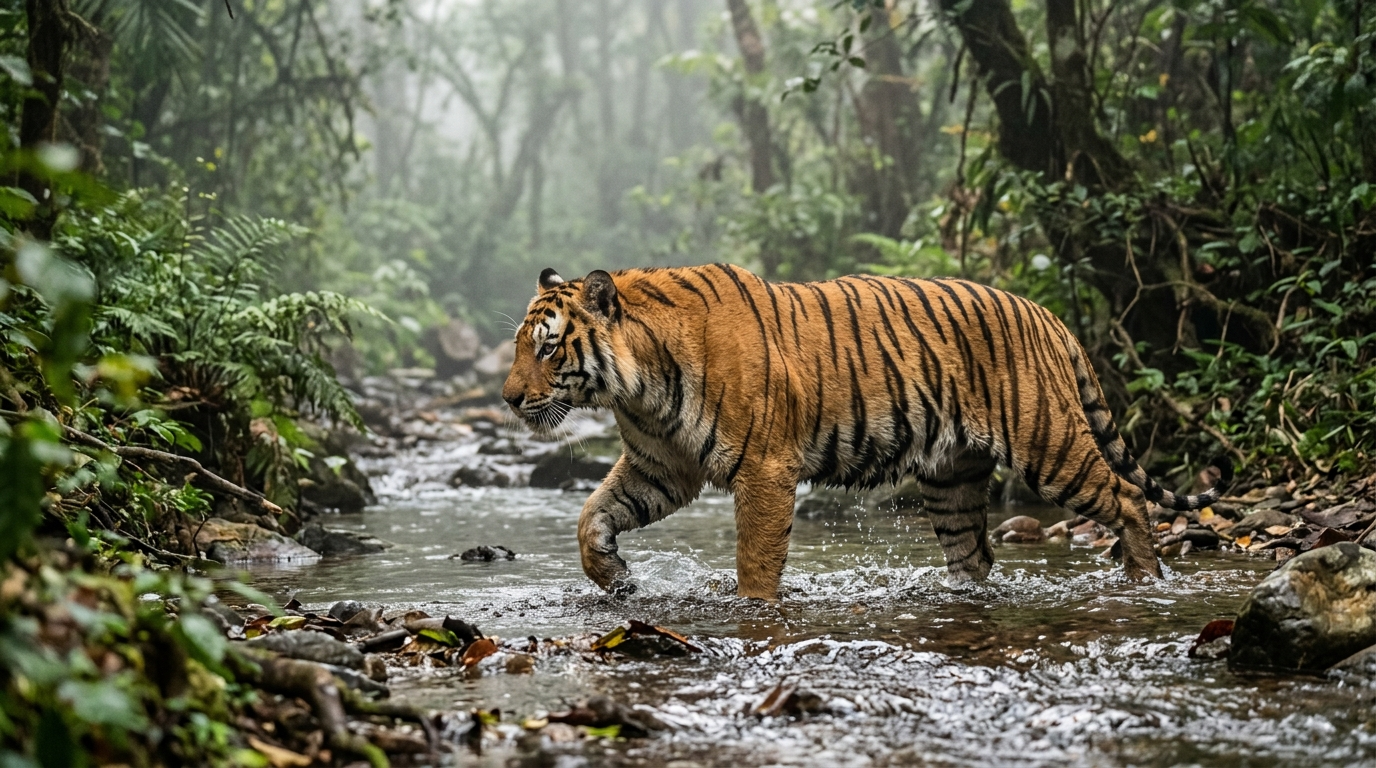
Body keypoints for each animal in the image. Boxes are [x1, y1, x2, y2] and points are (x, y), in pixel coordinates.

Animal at [501, 264, 1232, 600]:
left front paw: (752, 608)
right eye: (516, 348)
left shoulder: (764, 469)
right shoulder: (663, 467)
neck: (637, 388)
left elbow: (756, 560)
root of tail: (1047, 314)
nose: (507, 399)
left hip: (1049, 443)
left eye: (546, 348)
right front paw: (615, 578)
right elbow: (591, 517)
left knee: (1126, 497)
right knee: (975, 557)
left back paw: (1145, 580)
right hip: (952, 479)